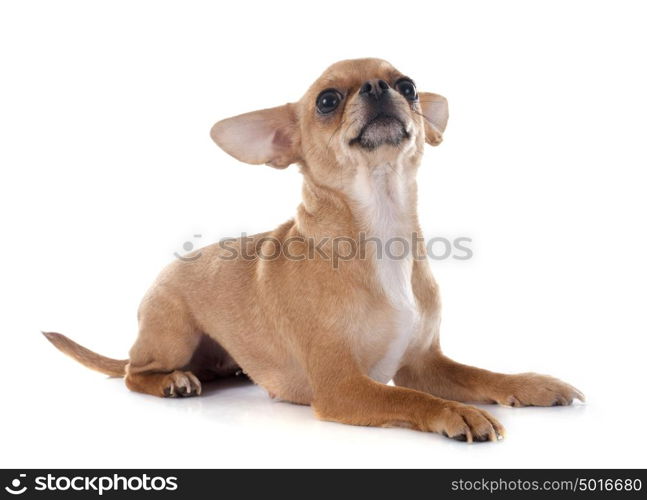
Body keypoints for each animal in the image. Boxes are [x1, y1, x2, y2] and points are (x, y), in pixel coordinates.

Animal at [44, 57, 584, 442]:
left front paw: (531, 384)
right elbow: (414, 401)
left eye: (409, 86)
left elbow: (482, 373)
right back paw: (172, 380)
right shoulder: (343, 387)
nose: (380, 87)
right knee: (133, 373)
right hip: (172, 334)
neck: (380, 226)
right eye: (327, 100)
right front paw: (455, 411)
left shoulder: (424, 365)